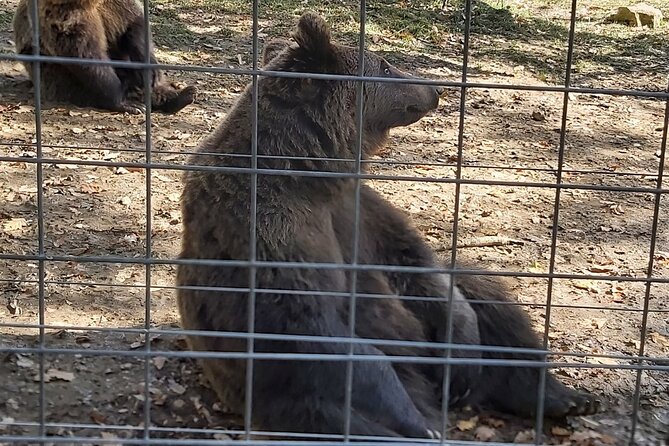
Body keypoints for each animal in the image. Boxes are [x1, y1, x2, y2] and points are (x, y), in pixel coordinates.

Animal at [12, 0, 196, 114]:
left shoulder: (115, 5)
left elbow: (133, 22)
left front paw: (150, 71)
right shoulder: (62, 14)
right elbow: (85, 55)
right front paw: (123, 103)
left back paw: (182, 95)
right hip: (56, 78)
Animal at [176, 12, 600, 439]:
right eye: (384, 65)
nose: (435, 90)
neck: (306, 168)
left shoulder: (358, 210)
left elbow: (415, 263)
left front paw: (463, 357)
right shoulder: (271, 231)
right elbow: (315, 329)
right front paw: (417, 425)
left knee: (490, 303)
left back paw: (562, 397)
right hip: (287, 394)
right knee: (336, 410)